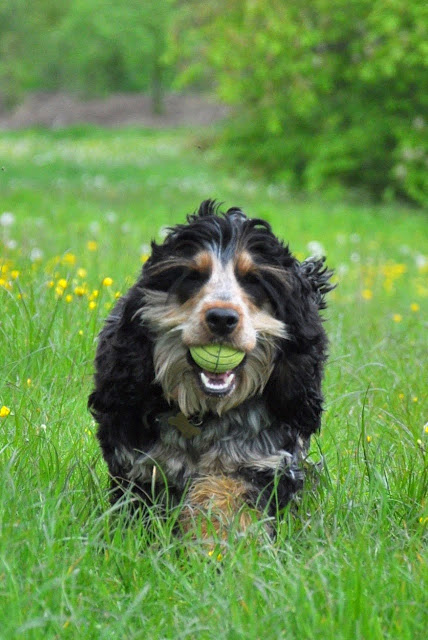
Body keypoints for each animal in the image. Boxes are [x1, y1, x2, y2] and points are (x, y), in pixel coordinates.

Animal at [88, 200, 333, 536]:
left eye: (254, 280)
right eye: (192, 276)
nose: (222, 318)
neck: (203, 413)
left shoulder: (259, 461)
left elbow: (224, 497)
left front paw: (218, 542)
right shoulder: (140, 465)